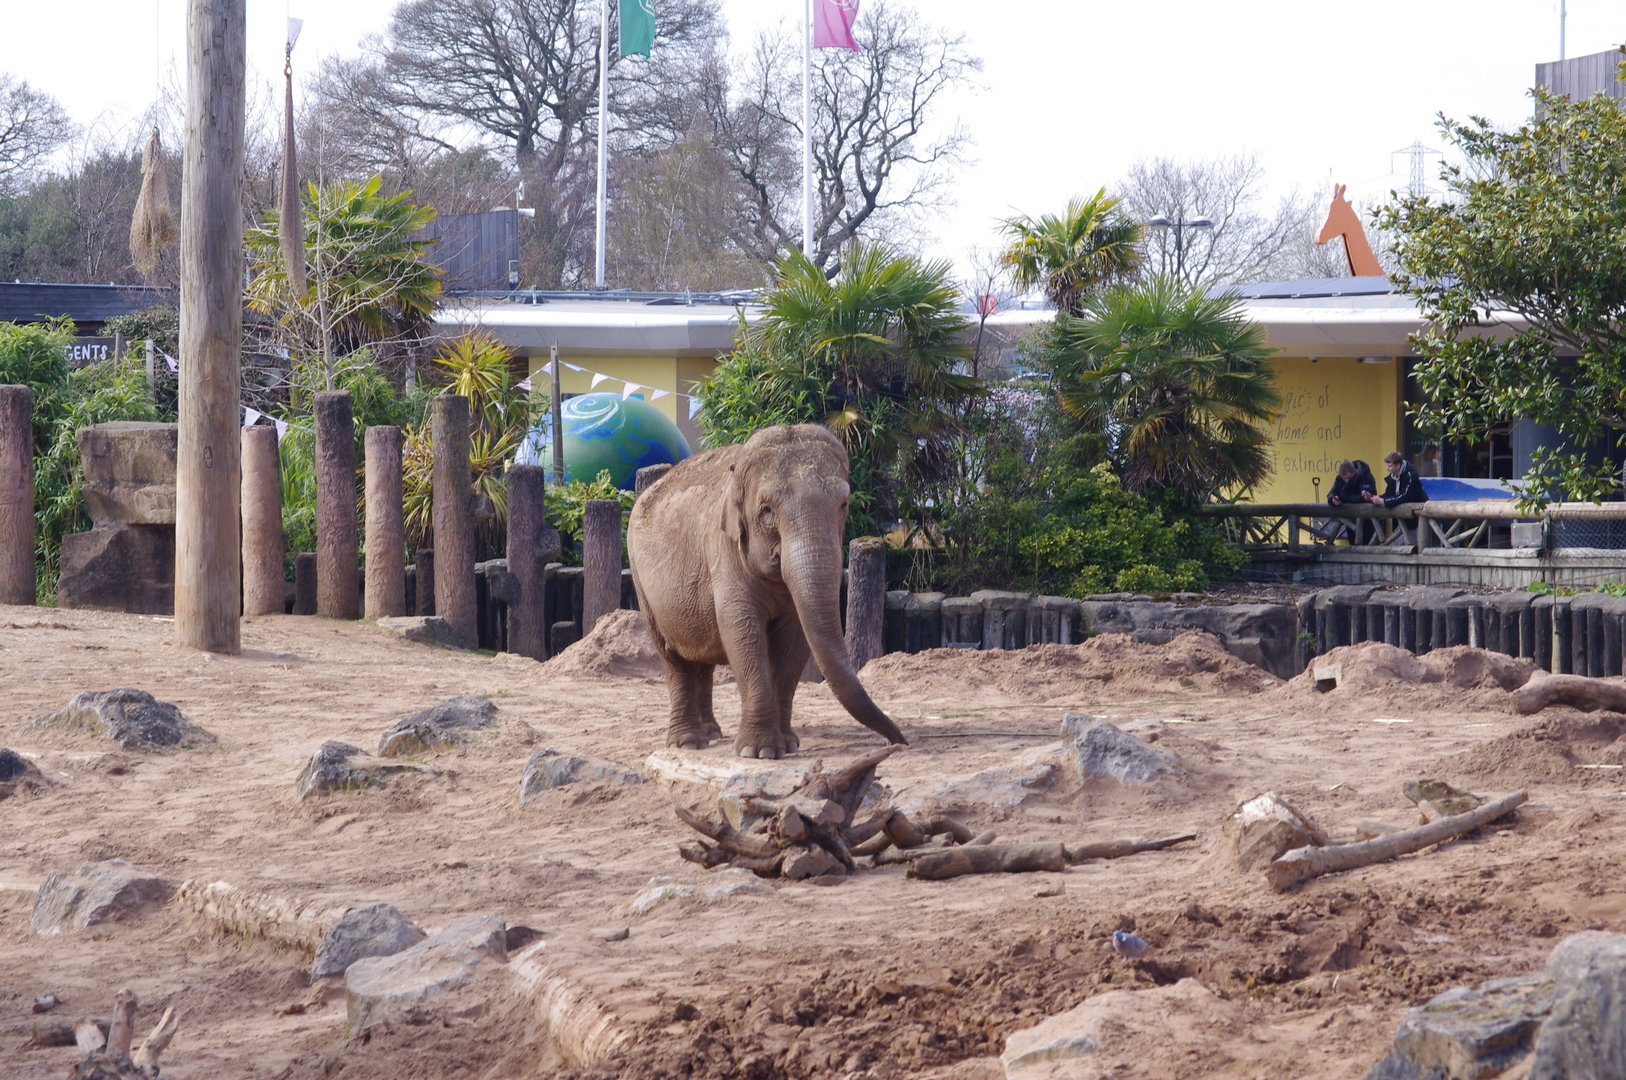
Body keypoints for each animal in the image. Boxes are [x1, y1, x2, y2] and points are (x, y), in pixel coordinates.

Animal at [627, 424, 908, 758]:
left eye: (844, 504)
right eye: (766, 510)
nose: (900, 741)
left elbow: (795, 640)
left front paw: (787, 744)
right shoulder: (724, 550)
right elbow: (742, 631)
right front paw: (758, 752)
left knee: (702, 658)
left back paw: (712, 733)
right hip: (641, 581)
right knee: (674, 658)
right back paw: (688, 742)